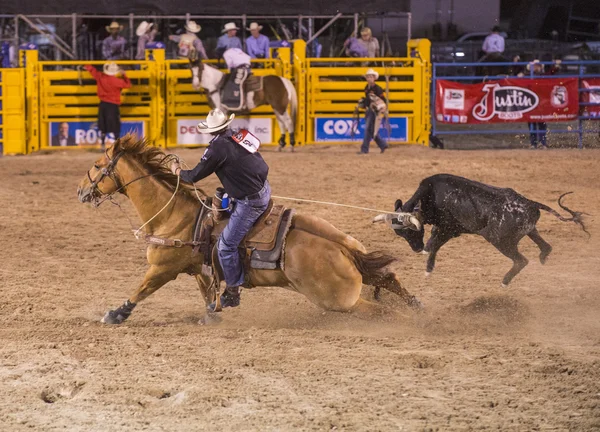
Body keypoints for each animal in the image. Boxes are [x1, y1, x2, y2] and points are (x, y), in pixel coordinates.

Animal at [76, 138, 422, 324]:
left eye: (97, 166)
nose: (80, 191)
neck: (176, 214)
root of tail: (341, 249)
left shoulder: (162, 268)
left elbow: (141, 290)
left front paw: (115, 314)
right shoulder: (201, 269)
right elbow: (207, 293)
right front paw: (213, 314)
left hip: (338, 300)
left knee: (378, 310)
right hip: (356, 261)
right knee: (388, 277)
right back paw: (416, 305)